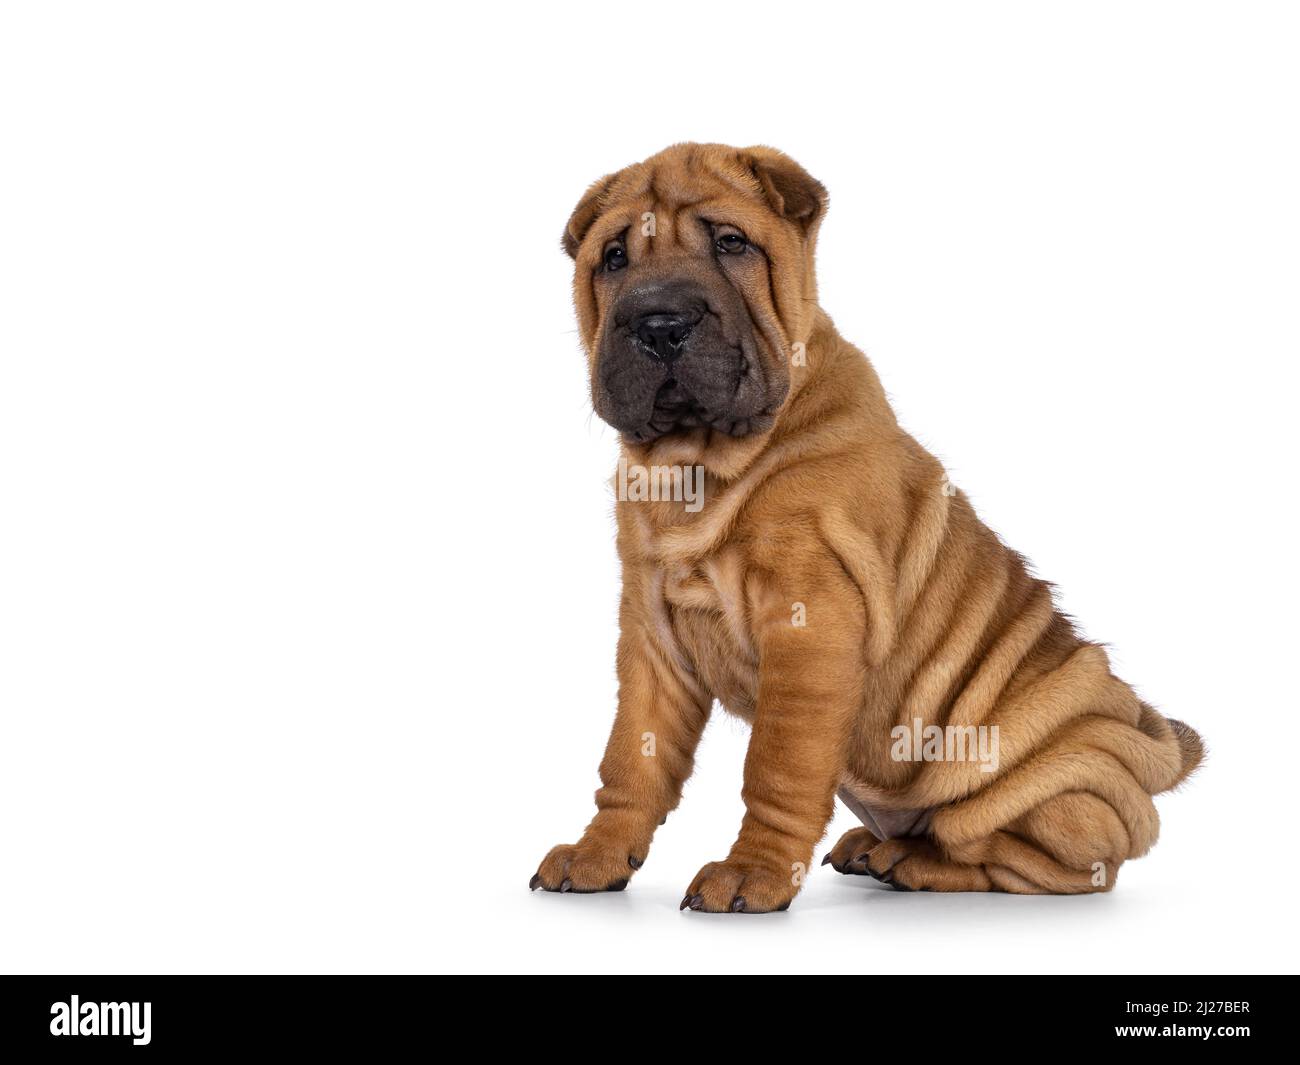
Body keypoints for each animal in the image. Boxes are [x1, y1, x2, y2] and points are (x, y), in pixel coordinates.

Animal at [527, 137, 1196, 910]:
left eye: (731, 244)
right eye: (613, 258)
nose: (660, 324)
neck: (698, 466)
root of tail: (1150, 748)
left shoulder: (809, 624)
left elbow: (776, 767)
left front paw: (752, 873)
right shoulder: (651, 634)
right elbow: (632, 757)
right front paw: (597, 853)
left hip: (1042, 788)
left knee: (1041, 865)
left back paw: (912, 862)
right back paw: (874, 846)